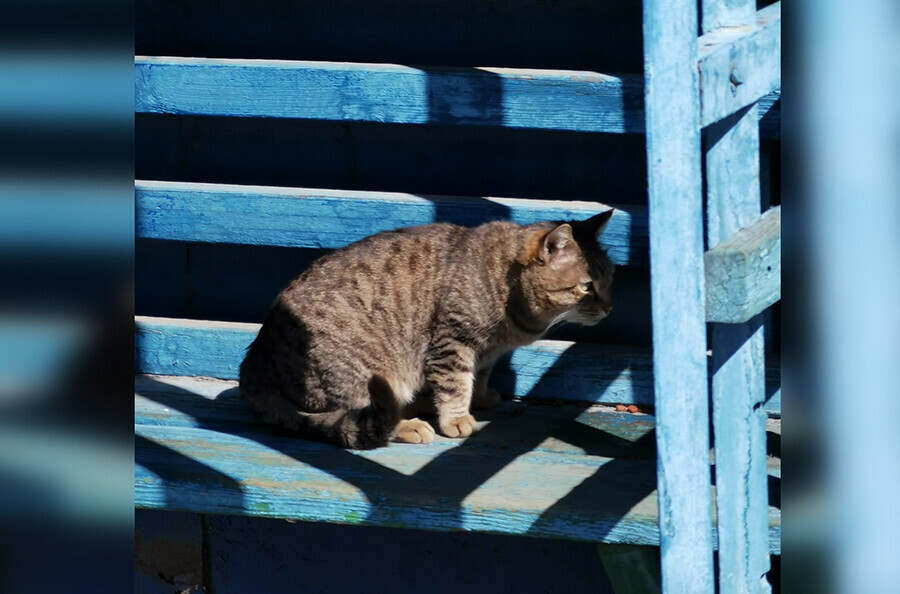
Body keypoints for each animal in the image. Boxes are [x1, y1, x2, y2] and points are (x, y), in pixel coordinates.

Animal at [239, 210, 616, 446]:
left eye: (610, 278)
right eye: (587, 287)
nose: (610, 307)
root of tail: (253, 368)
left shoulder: (486, 351)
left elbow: (479, 377)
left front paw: (480, 397)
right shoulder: (452, 341)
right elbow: (455, 385)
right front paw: (457, 418)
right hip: (364, 373)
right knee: (357, 415)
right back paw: (409, 424)